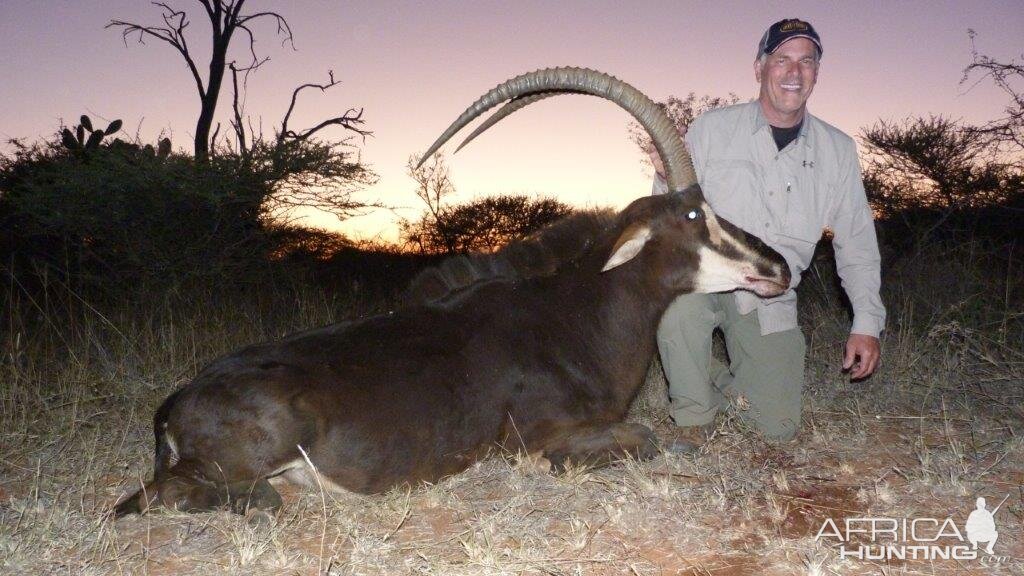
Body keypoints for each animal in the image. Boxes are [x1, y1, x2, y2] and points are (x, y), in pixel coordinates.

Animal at [114, 68, 790, 516]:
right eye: (695, 216)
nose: (779, 267)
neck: (576, 310)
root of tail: (176, 401)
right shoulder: (542, 437)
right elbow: (647, 438)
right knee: (170, 497)